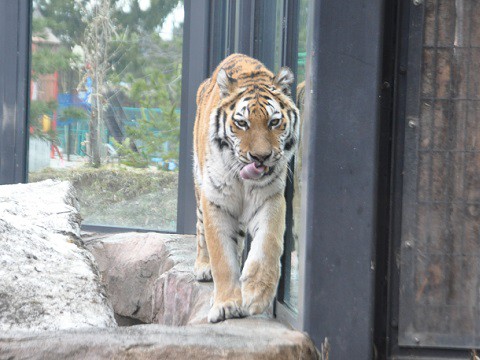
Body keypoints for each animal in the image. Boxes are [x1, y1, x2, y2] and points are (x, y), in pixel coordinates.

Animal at [192, 53, 298, 324]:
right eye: (242, 123)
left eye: (274, 122)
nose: (260, 157)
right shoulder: (215, 201)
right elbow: (222, 256)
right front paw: (227, 304)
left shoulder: (271, 198)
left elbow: (267, 245)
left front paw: (255, 294)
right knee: (201, 230)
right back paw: (203, 267)